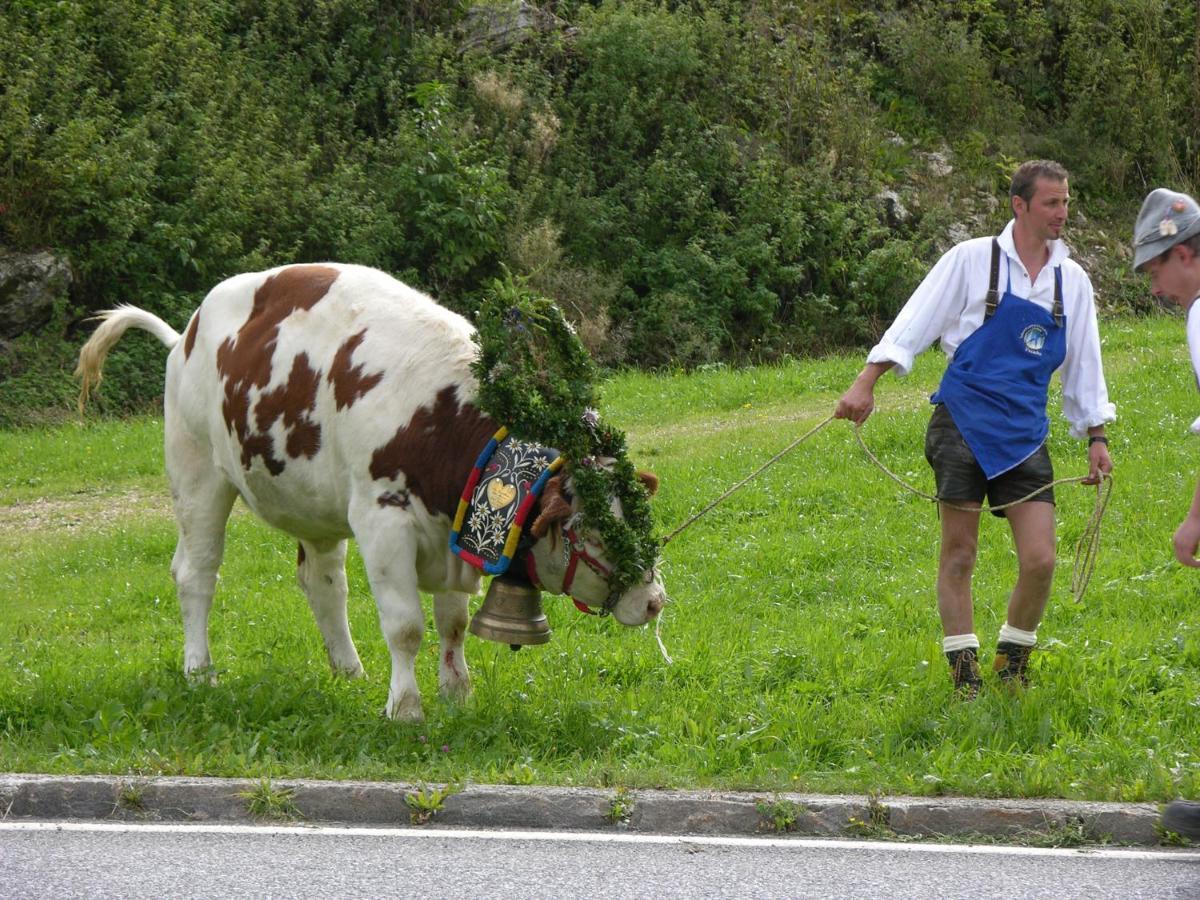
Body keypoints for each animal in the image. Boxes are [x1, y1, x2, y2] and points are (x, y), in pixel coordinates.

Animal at [77, 264, 667, 724]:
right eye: (591, 529)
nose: (654, 600)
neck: (442, 425)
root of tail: (185, 335)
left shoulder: (457, 530)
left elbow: (453, 624)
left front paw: (457, 695)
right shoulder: (384, 520)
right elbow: (405, 626)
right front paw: (405, 708)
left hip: (315, 506)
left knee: (322, 583)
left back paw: (348, 670)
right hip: (197, 473)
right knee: (196, 573)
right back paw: (200, 672)